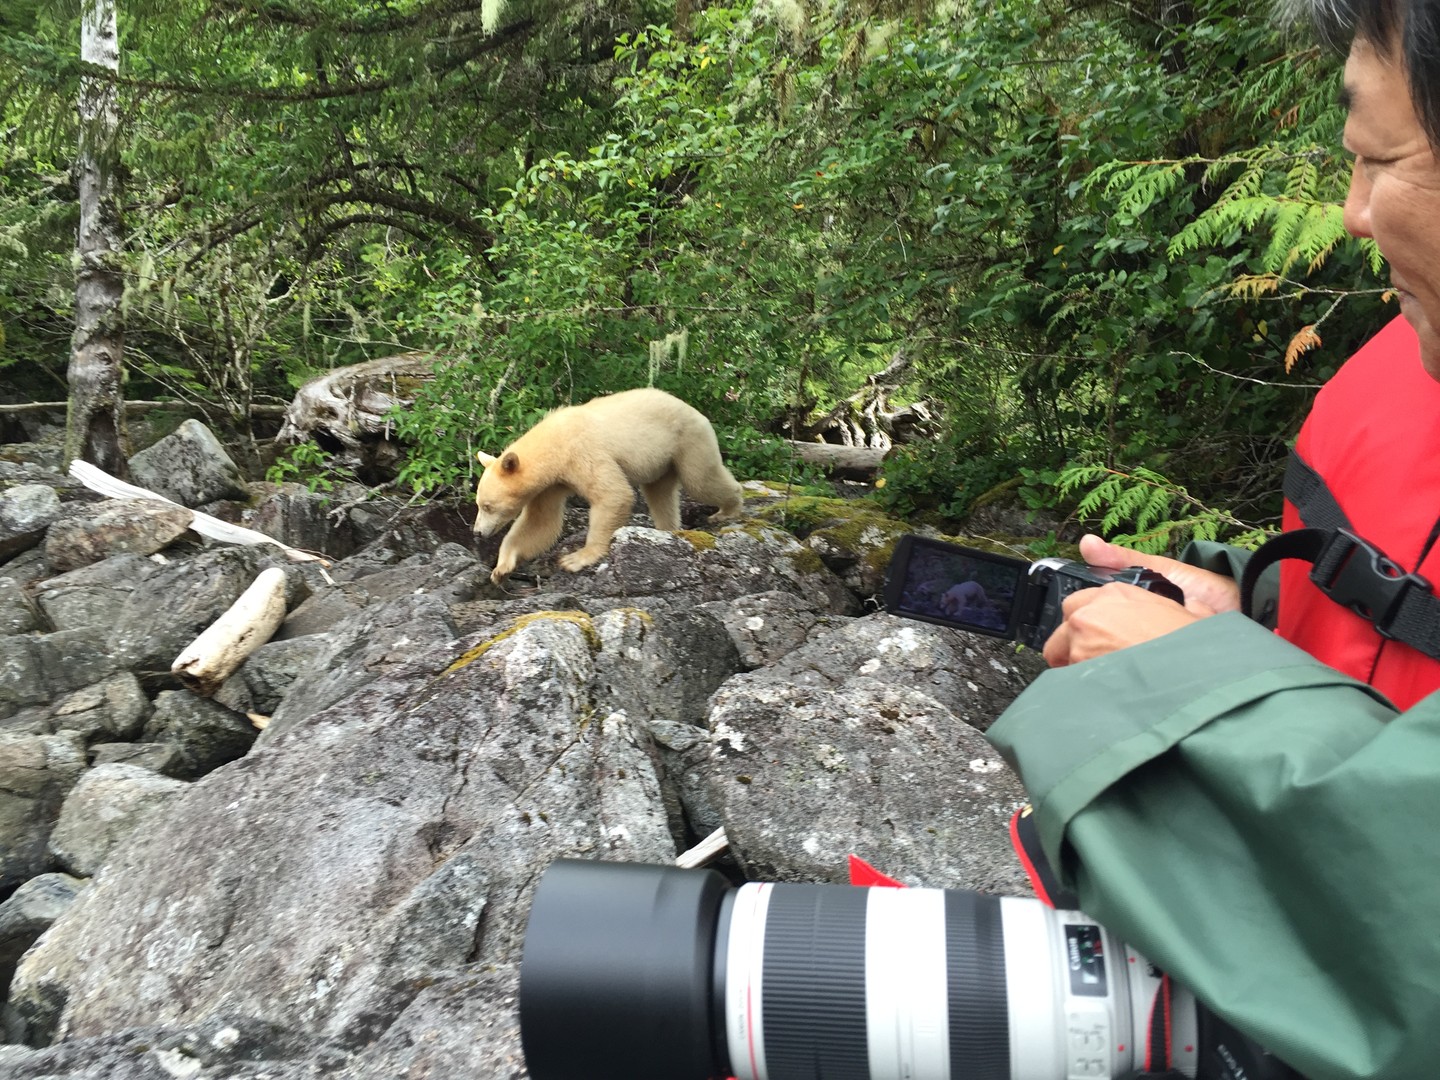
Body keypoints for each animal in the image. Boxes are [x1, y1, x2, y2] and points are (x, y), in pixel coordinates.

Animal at [472, 387, 746, 583]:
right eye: (479, 504)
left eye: (487, 506)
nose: (476, 533)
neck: (552, 446)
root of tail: (695, 411)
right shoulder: (551, 484)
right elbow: (540, 522)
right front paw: (501, 568)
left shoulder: (581, 453)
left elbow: (613, 494)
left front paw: (577, 558)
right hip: (662, 461)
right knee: (659, 493)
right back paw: (668, 529)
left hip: (688, 440)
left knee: (700, 479)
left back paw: (727, 509)